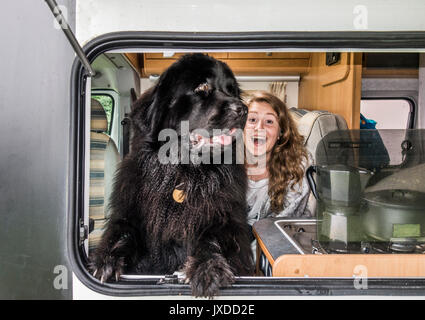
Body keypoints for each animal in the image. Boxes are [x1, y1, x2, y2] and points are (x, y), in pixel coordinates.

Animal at [90, 53, 253, 298]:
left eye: (232, 91)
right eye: (202, 87)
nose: (242, 109)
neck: (186, 173)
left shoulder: (228, 221)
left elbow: (213, 237)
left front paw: (207, 268)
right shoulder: (131, 211)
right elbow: (124, 232)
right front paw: (107, 259)